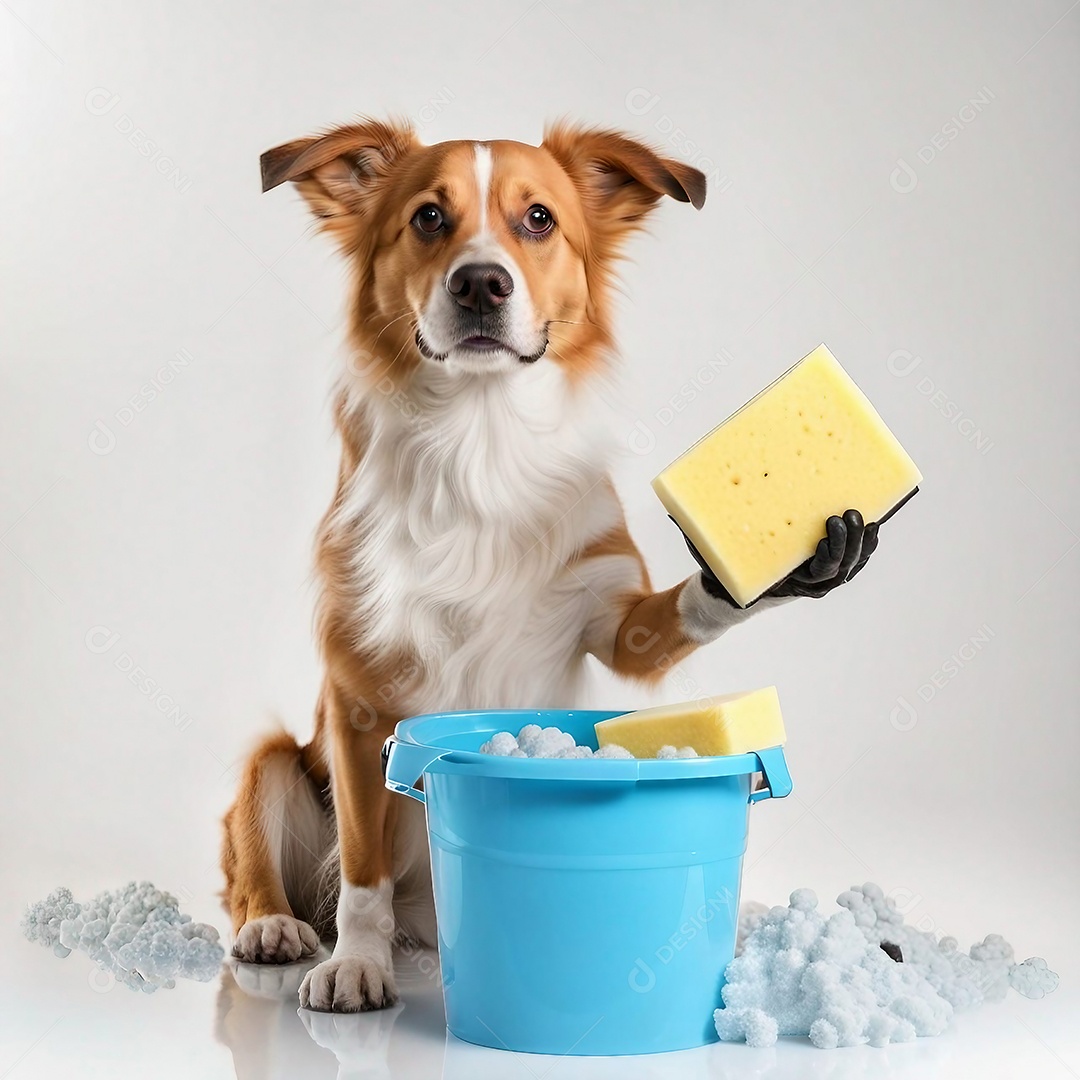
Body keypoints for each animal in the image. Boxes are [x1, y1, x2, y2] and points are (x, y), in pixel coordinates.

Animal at [219, 116, 876, 1010]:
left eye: (538, 219)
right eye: (428, 217)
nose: (481, 285)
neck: (479, 434)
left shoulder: (614, 621)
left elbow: (678, 611)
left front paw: (783, 567)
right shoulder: (354, 698)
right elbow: (360, 865)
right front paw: (356, 962)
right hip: (276, 760)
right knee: (255, 849)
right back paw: (275, 925)